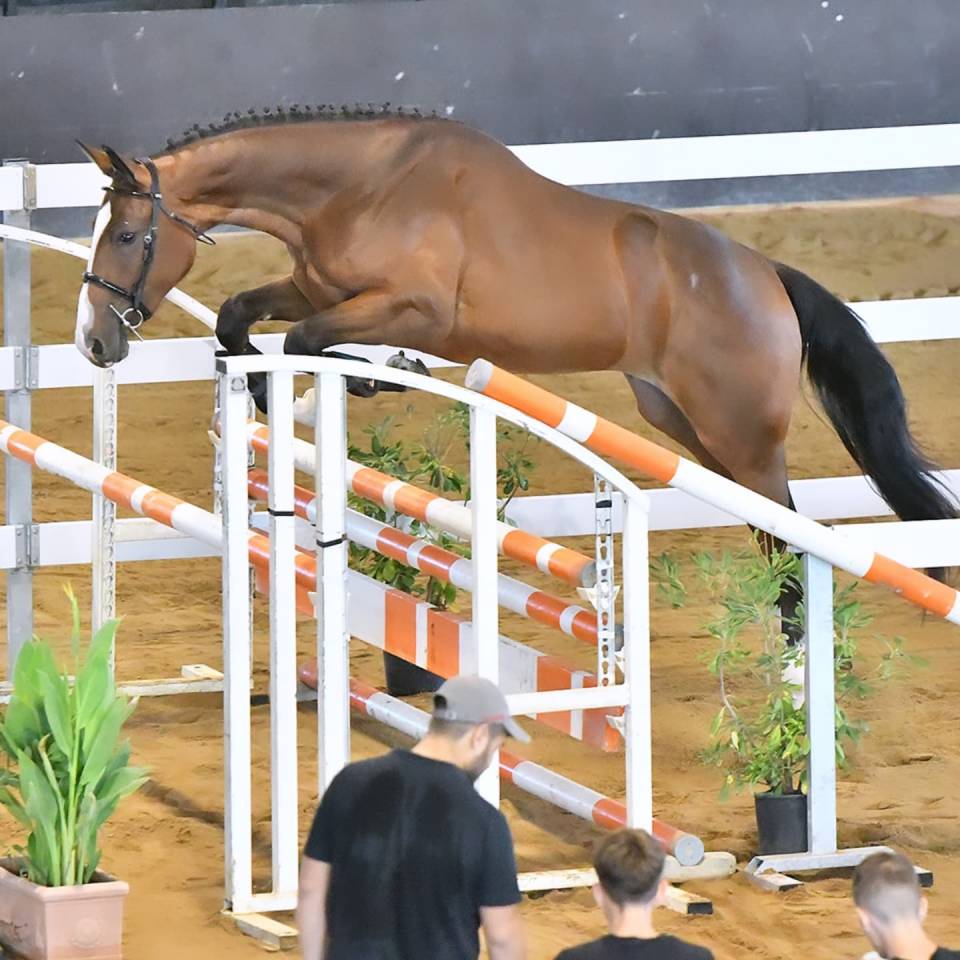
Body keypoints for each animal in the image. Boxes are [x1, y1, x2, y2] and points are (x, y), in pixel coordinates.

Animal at [74, 105, 957, 654]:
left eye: (129, 235)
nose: (95, 341)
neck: (359, 187)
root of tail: (768, 276)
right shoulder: (317, 287)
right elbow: (241, 318)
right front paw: (287, 393)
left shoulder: (412, 309)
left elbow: (306, 339)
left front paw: (386, 377)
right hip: (684, 424)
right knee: (773, 533)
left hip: (739, 437)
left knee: (788, 538)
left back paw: (798, 668)